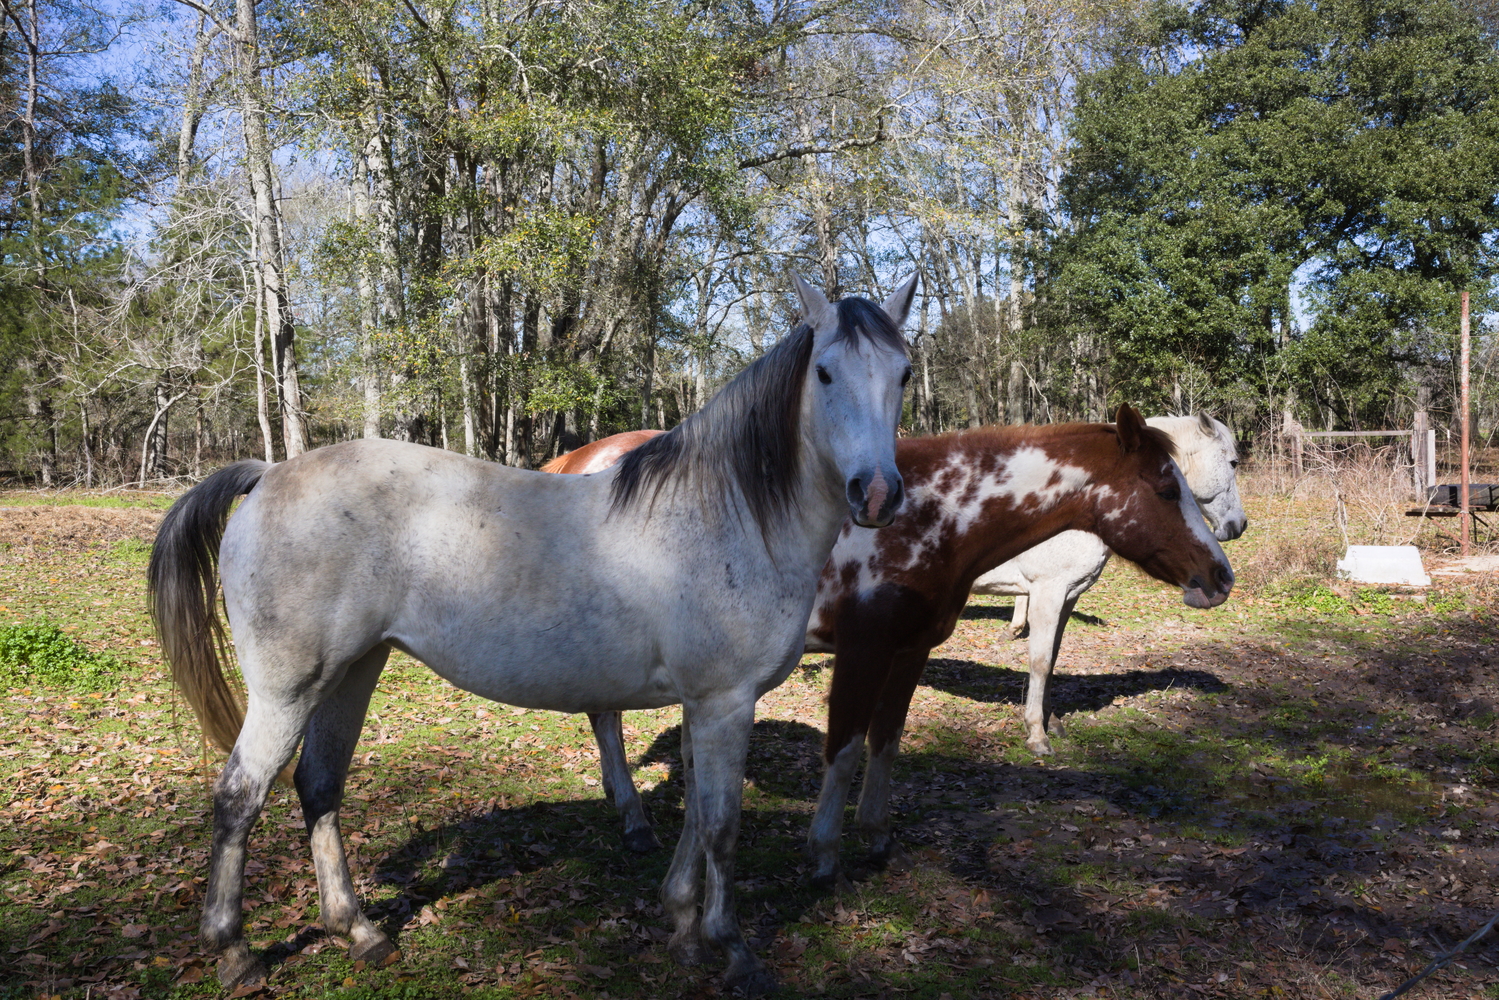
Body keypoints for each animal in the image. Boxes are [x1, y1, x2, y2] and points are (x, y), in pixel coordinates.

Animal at [152, 275, 917, 1000]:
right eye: (825, 373)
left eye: (904, 372)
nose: (877, 495)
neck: (729, 513)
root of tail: (267, 475)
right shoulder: (726, 702)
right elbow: (722, 828)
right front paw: (733, 950)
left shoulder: (706, 705)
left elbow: (699, 819)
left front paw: (681, 926)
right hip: (287, 691)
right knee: (239, 798)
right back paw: (235, 952)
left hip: (352, 671)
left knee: (319, 787)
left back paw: (359, 933)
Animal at [971, 413, 1241, 749]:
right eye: (1233, 462)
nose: (1238, 525)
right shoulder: (1046, 592)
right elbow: (1040, 661)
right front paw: (1036, 732)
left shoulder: (1068, 595)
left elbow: (1053, 658)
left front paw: (1052, 721)